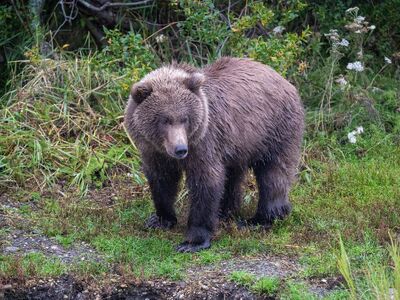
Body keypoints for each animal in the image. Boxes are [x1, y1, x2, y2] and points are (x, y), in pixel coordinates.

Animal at [124, 57, 304, 252]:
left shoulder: (204, 142)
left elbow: (206, 182)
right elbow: (162, 180)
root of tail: (286, 81)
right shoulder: (154, 151)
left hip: (273, 130)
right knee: (233, 177)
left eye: (185, 118)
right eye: (164, 120)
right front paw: (160, 220)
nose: (180, 149)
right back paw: (226, 212)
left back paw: (260, 219)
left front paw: (193, 241)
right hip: (237, 145)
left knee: (273, 174)